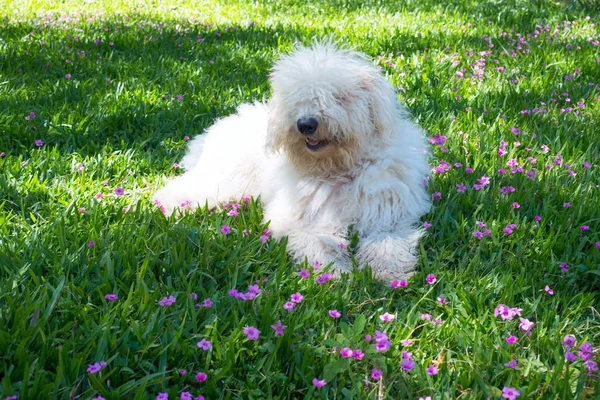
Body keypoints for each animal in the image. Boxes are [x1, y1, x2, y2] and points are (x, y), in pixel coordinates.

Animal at [152, 44, 428, 282]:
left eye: (338, 97)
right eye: (297, 99)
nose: (306, 124)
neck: (337, 170)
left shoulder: (388, 216)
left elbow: (386, 242)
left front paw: (386, 273)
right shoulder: (298, 220)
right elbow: (317, 243)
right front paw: (334, 274)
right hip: (222, 182)